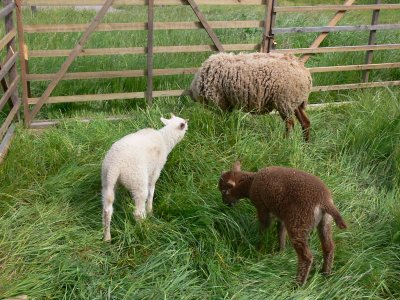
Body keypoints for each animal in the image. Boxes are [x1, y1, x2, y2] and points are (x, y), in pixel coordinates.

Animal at [100, 113, 188, 243]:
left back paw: (107, 238)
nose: (187, 123)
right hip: (137, 180)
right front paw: (150, 209)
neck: (165, 140)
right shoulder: (155, 171)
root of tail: (115, 166)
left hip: (106, 181)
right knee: (138, 212)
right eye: (185, 125)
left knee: (107, 211)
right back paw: (145, 227)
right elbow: (151, 190)